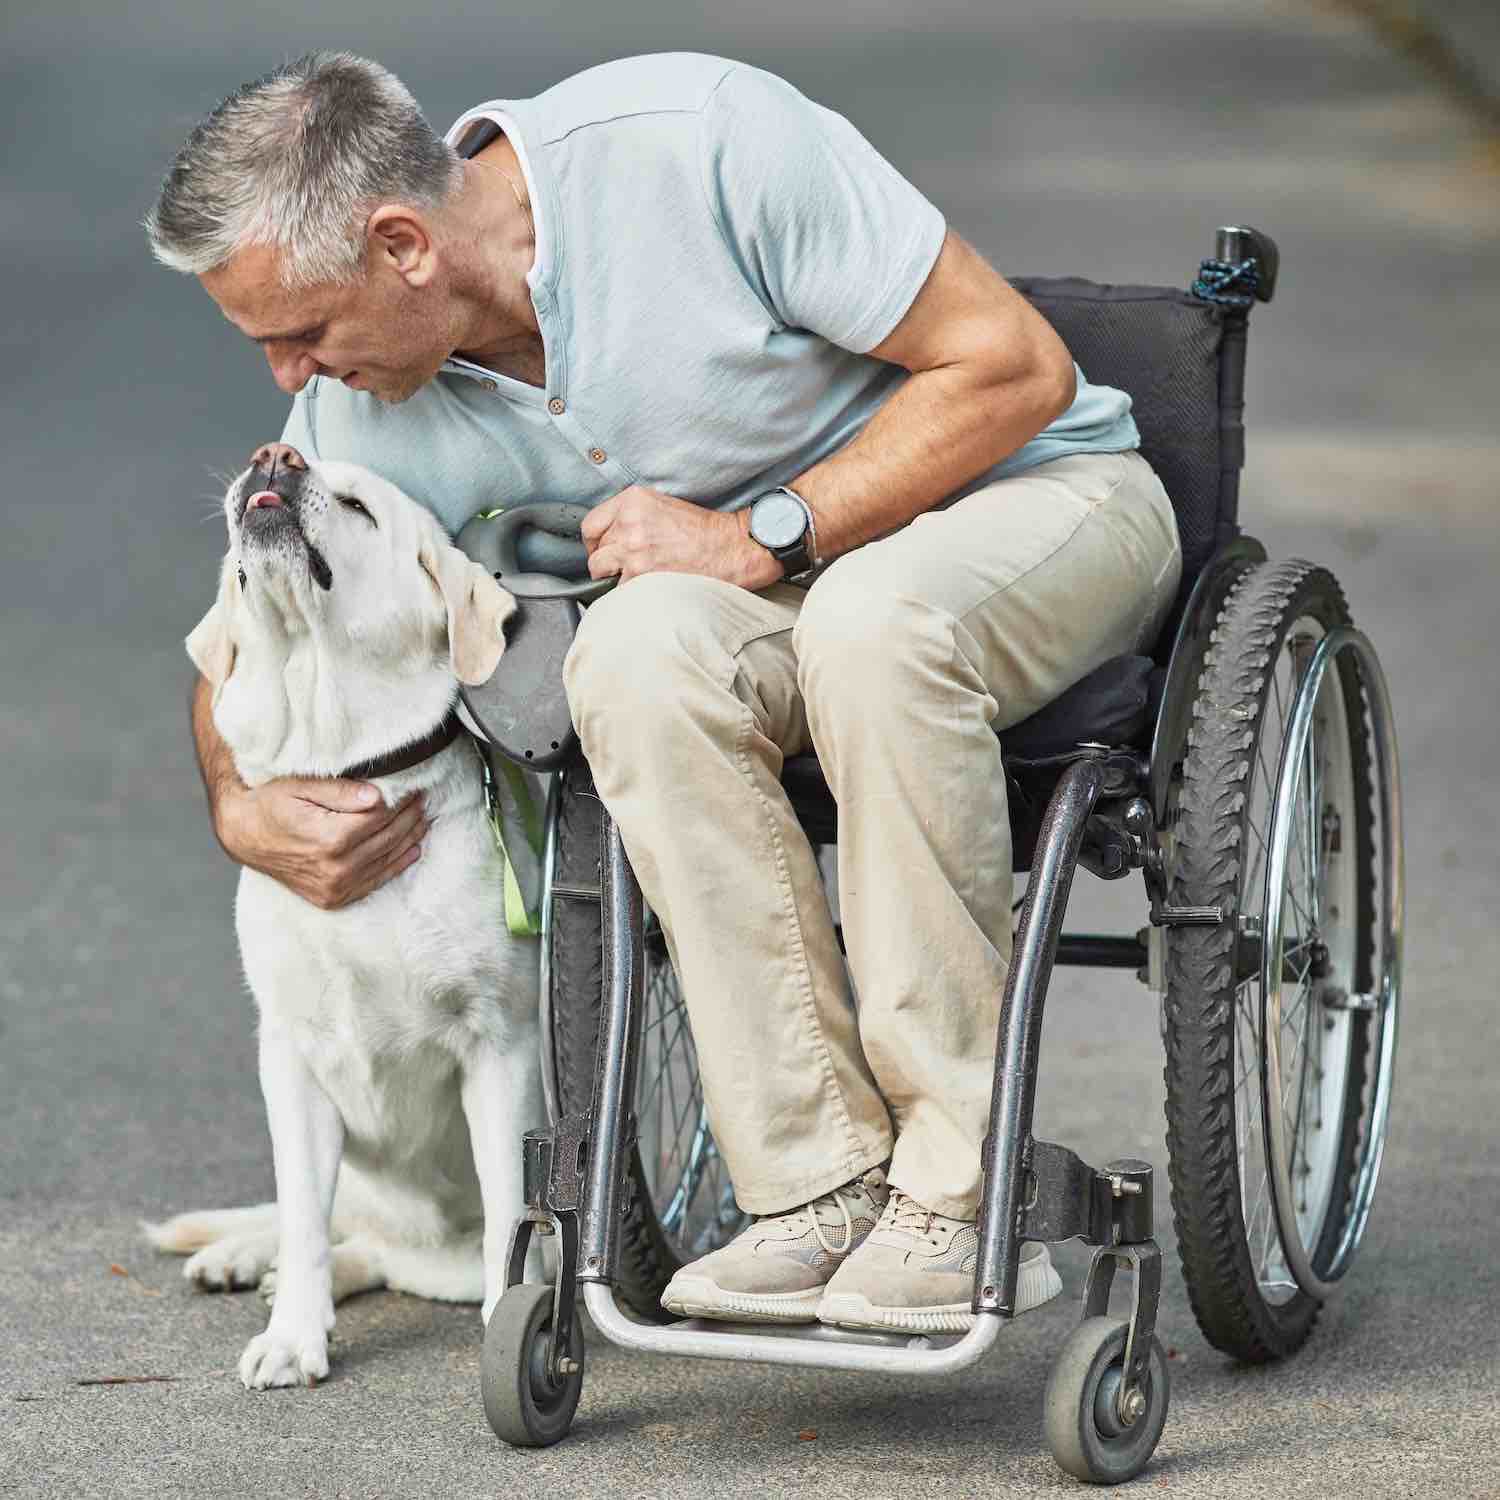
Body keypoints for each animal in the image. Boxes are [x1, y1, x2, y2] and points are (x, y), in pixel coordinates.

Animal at [141, 438, 546, 1386]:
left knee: (396, 1253)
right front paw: (294, 1334)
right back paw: (244, 1258)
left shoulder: (501, 1049)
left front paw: (507, 1326)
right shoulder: (291, 1060)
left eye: (361, 507)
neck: (344, 763)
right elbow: (301, 1214)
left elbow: (509, 1212)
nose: (275, 454)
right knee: (330, 1227)